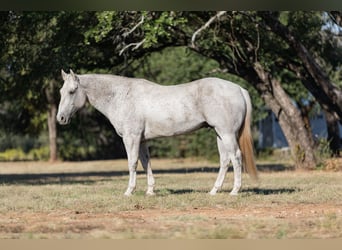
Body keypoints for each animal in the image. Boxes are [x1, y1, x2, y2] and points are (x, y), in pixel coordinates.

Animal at [57, 69, 258, 196]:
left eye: (72, 91)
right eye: (60, 91)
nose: (61, 118)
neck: (121, 96)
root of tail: (239, 89)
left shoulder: (131, 138)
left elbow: (132, 163)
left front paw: (129, 191)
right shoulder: (142, 140)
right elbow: (146, 162)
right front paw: (150, 191)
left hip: (227, 134)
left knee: (236, 157)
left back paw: (234, 191)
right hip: (220, 134)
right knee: (225, 160)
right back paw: (214, 191)